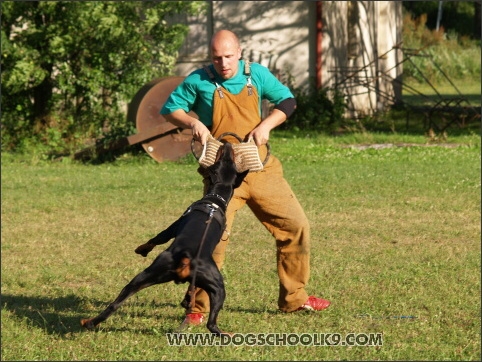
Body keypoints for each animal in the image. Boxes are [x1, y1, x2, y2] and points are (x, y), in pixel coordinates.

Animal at [79, 143, 249, 336]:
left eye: (222, 161)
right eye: (227, 161)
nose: (227, 145)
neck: (215, 199)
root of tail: (187, 256)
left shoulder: (173, 227)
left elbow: (156, 238)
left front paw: (141, 249)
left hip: (151, 271)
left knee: (115, 304)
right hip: (217, 287)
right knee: (211, 324)